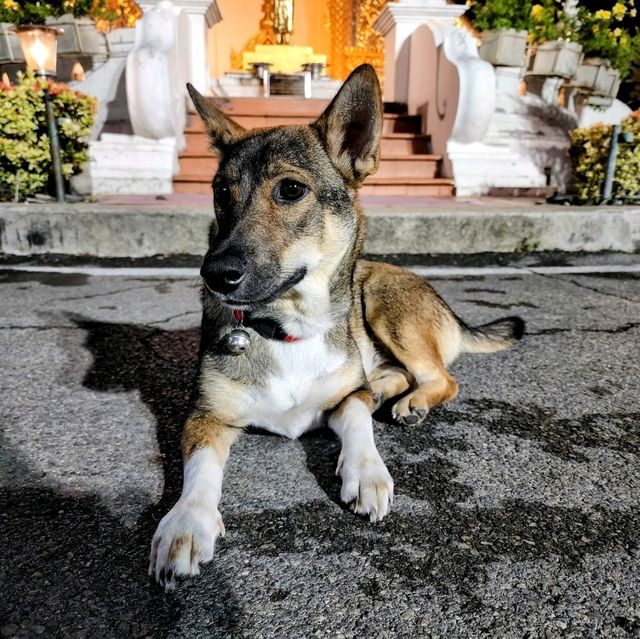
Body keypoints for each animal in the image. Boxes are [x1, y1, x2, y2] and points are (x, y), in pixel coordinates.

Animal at [150, 63, 524, 592]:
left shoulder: (349, 395)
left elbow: (356, 417)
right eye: (221, 191)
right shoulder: (205, 416)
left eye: (290, 189)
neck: (288, 326)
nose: (215, 274)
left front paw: (366, 471)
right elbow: (200, 471)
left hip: (384, 303)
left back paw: (409, 402)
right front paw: (186, 521)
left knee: (441, 378)